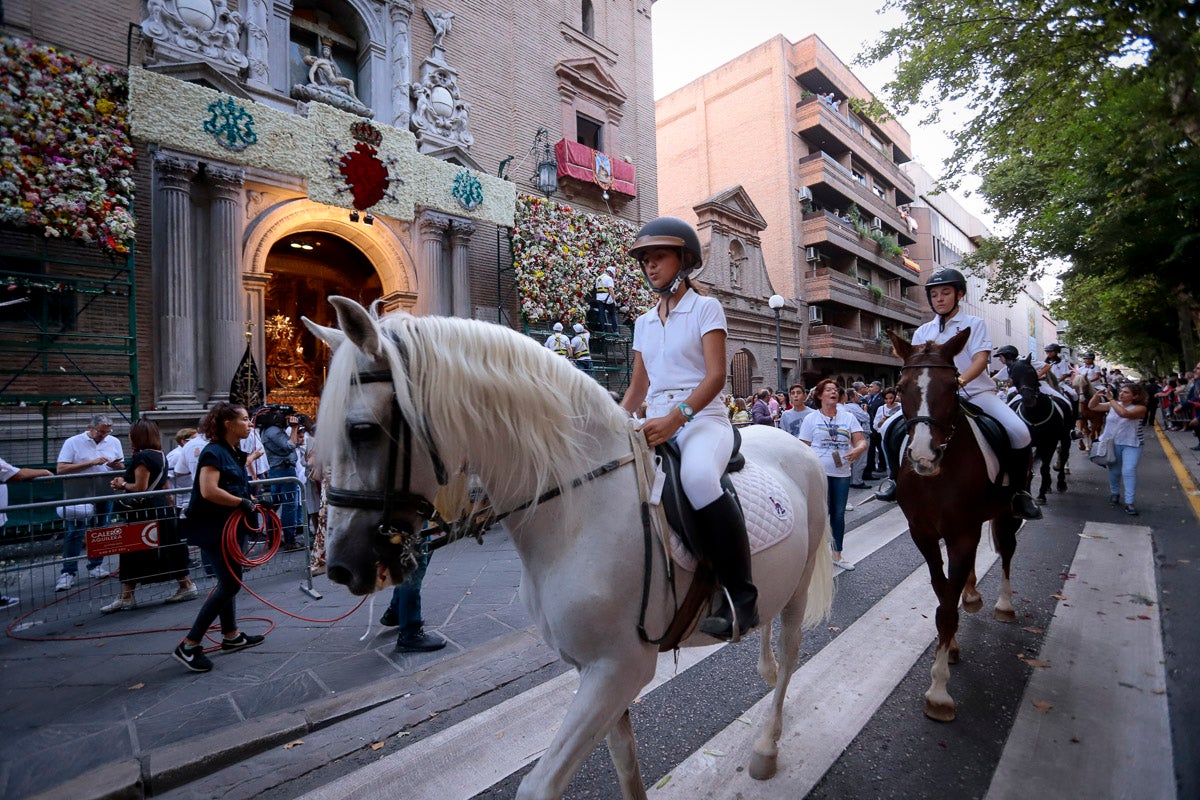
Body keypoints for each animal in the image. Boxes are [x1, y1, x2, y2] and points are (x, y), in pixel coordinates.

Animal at [304, 297, 830, 796]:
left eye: (361, 430)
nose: (341, 567)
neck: (576, 510)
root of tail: (796, 444)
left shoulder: (620, 668)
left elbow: (539, 785)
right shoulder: (593, 670)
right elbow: (625, 766)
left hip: (801, 587)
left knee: (791, 654)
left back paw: (765, 748)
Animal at [883, 328, 1022, 724]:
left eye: (951, 385)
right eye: (900, 387)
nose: (923, 456)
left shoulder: (962, 532)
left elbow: (946, 608)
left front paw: (939, 691)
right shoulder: (924, 533)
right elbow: (941, 589)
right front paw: (953, 646)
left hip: (1006, 513)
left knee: (1007, 552)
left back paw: (1004, 604)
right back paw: (972, 595)